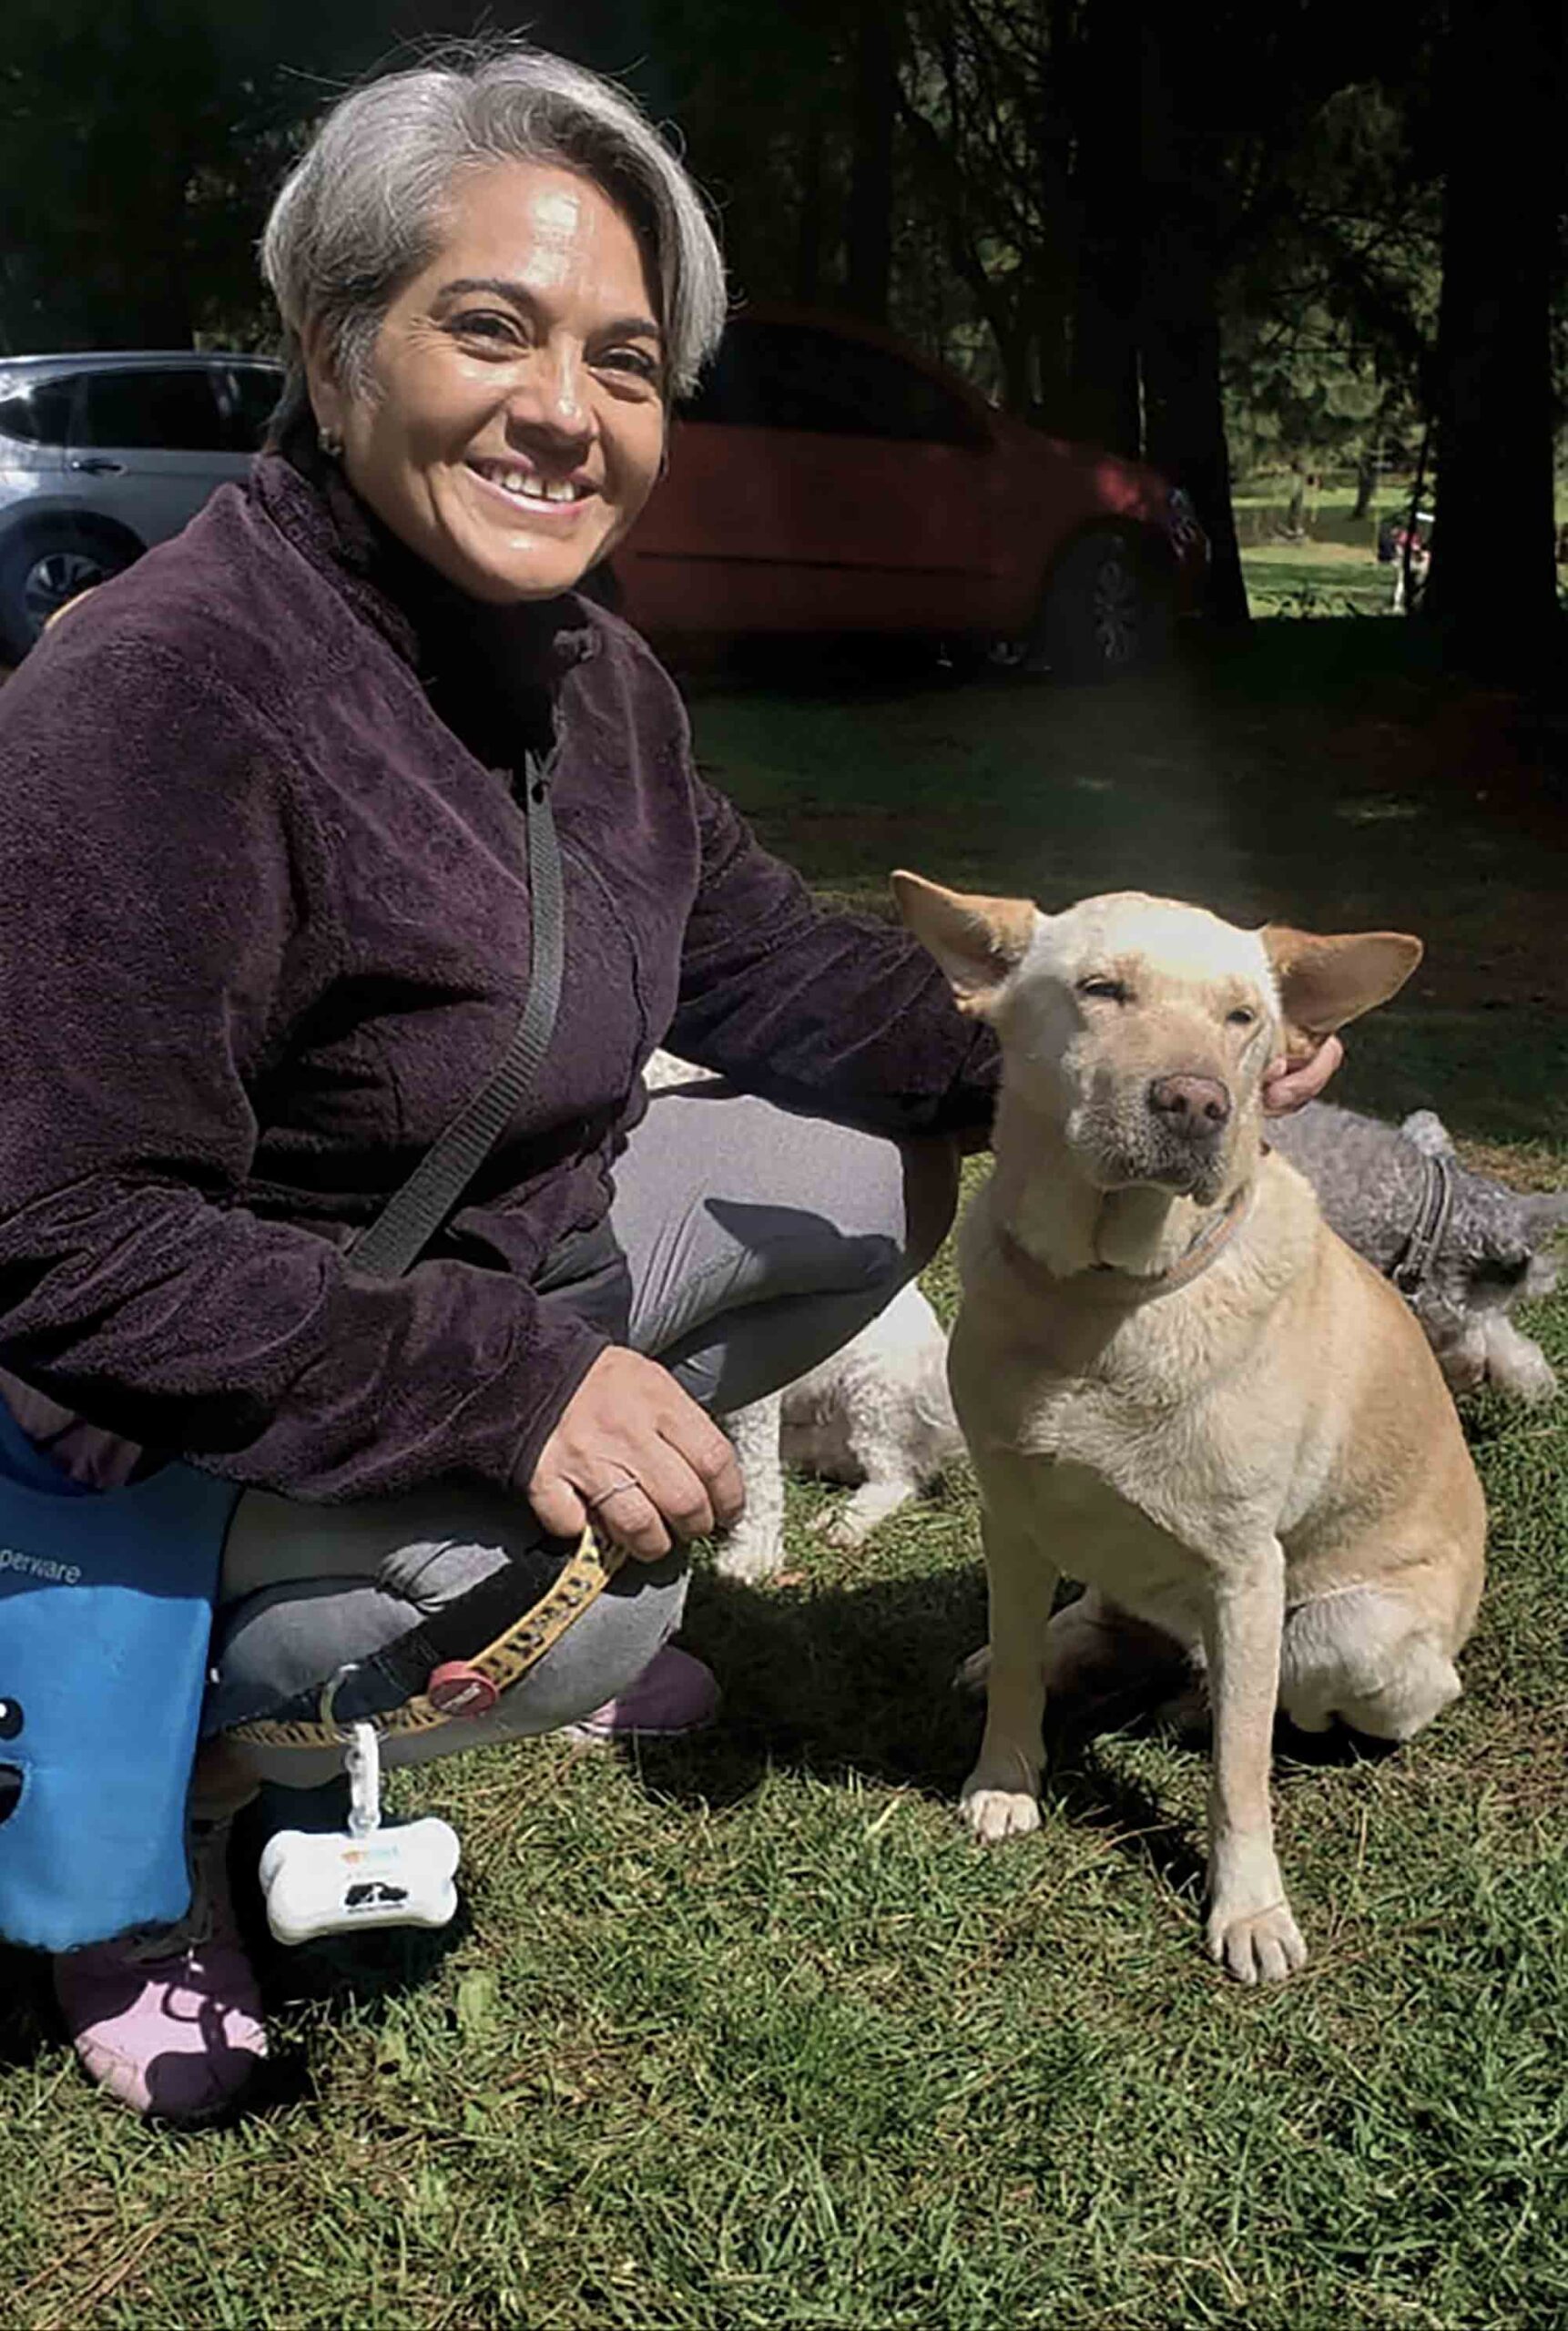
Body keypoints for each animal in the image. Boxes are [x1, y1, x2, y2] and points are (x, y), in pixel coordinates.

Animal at [894, 876, 1481, 1986]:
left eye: (1242, 1019)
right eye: (1101, 989)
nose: (1197, 1102)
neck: (1103, 1298)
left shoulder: (1247, 1574)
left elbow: (1239, 1775)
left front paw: (1247, 1906)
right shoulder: (1013, 1516)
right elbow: (1021, 1670)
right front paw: (1006, 1777)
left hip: (1346, 1635)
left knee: (1274, 1695)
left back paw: (1197, 1703)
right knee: (1090, 1626)